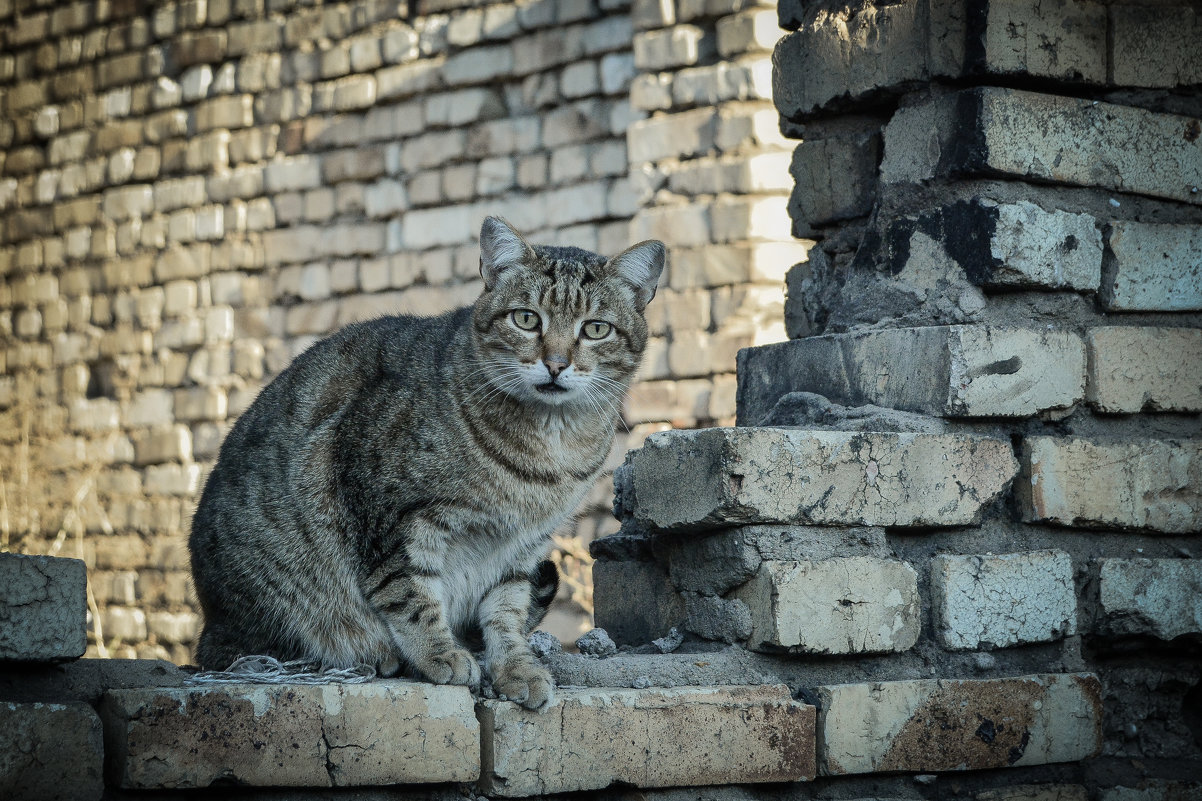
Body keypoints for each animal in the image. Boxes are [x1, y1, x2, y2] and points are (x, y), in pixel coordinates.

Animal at [185, 215, 668, 707]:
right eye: (526, 319)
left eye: (595, 329)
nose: (556, 364)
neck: (550, 445)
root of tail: (210, 624)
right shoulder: (393, 516)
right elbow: (410, 594)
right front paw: (440, 654)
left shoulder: (524, 544)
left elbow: (507, 610)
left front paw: (515, 667)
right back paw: (376, 654)